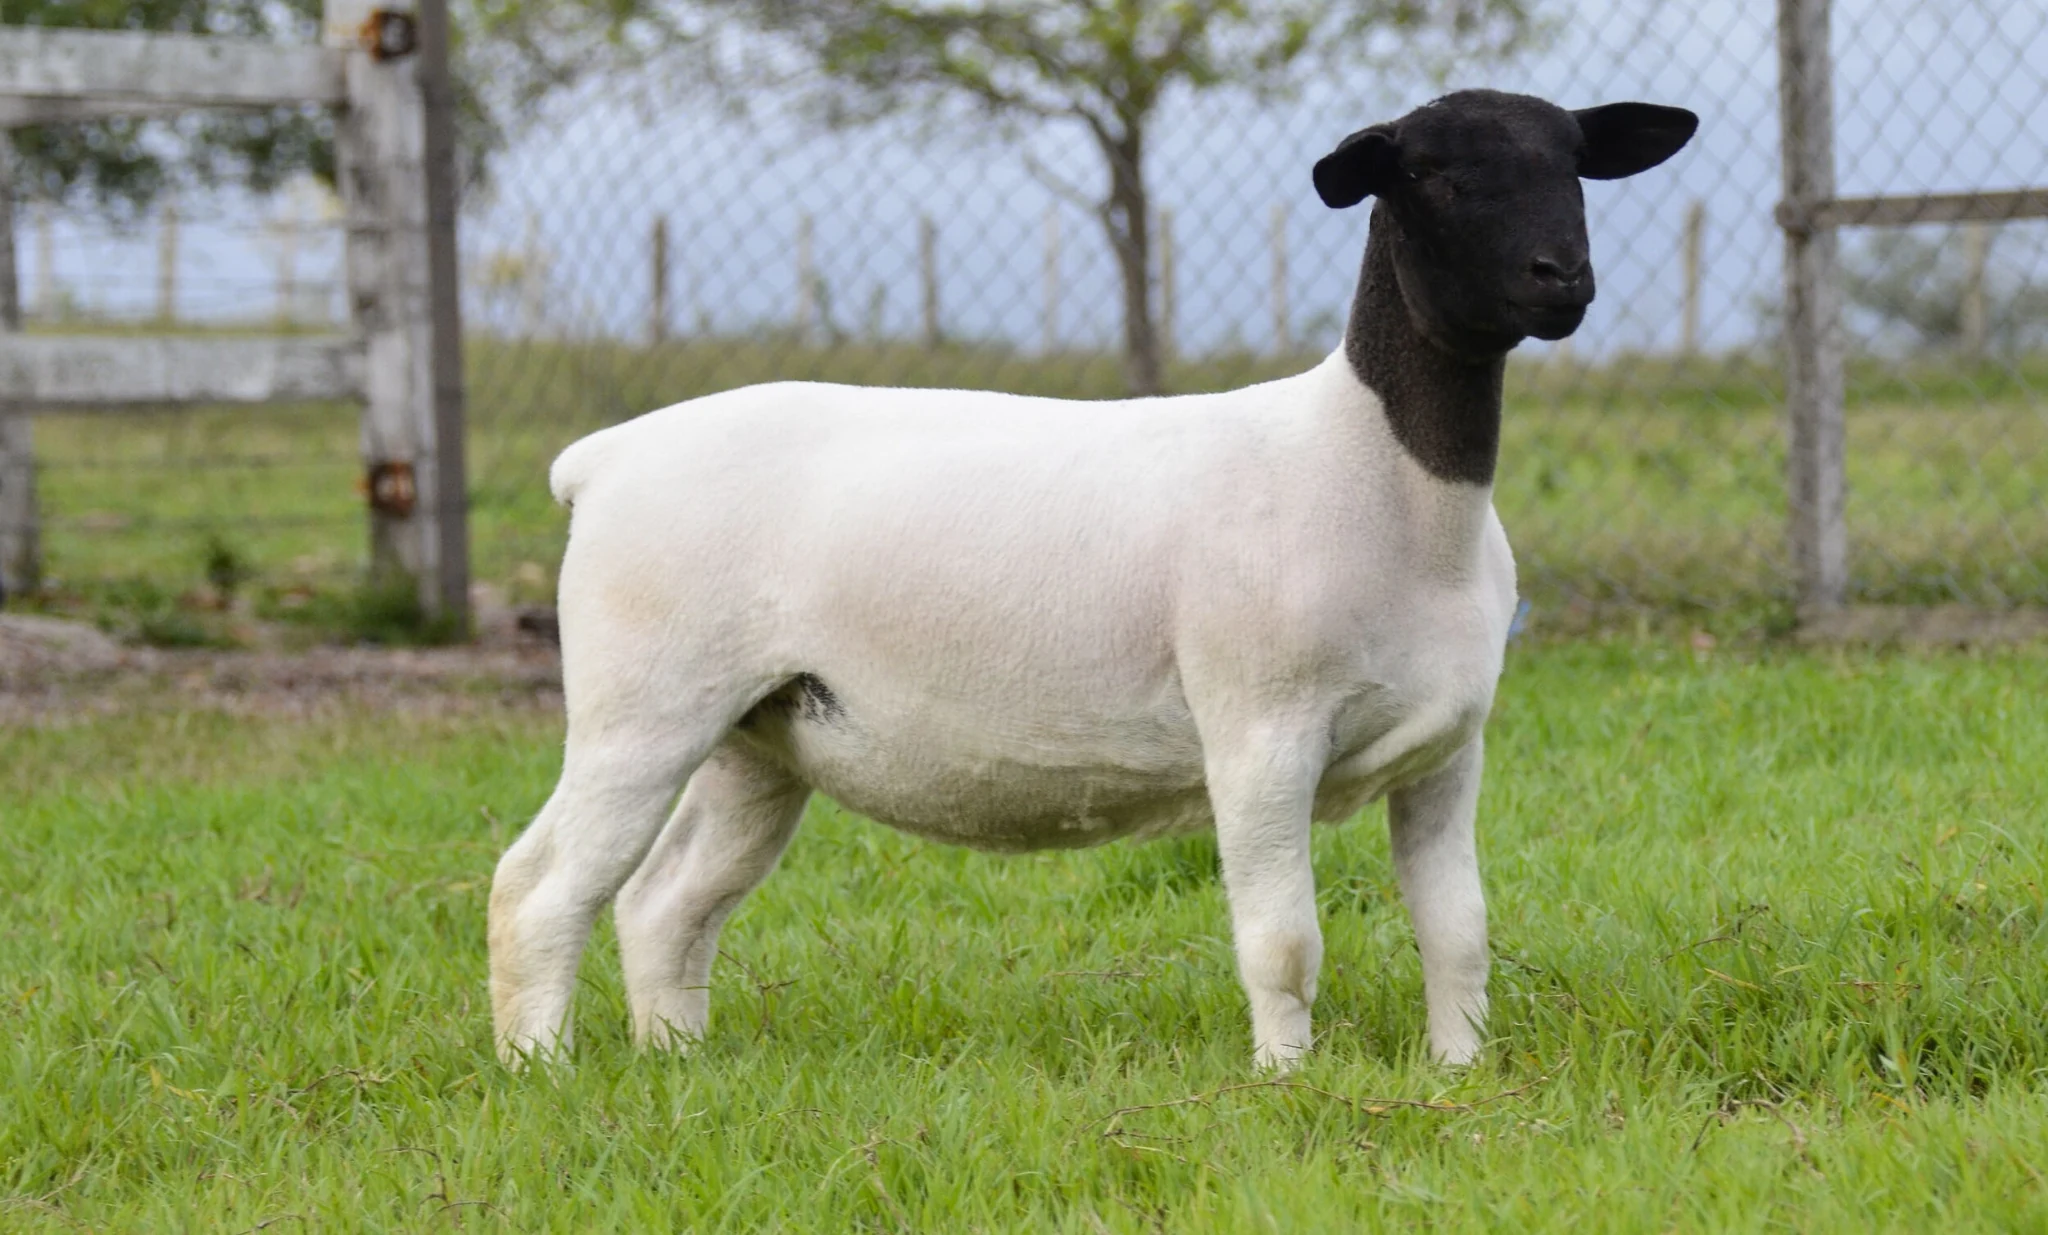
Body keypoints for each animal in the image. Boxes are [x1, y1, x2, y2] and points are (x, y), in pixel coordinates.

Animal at [487, 89, 1697, 1070]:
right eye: (1435, 172)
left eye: (1575, 165)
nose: (1563, 279)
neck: (1380, 481)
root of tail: (599, 460)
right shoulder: (1258, 732)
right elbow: (1281, 939)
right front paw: (1285, 1079)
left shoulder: (1449, 747)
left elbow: (1457, 929)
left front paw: (1456, 1075)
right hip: (642, 701)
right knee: (539, 887)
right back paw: (541, 1070)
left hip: (763, 730)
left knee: (665, 902)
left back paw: (675, 1063)